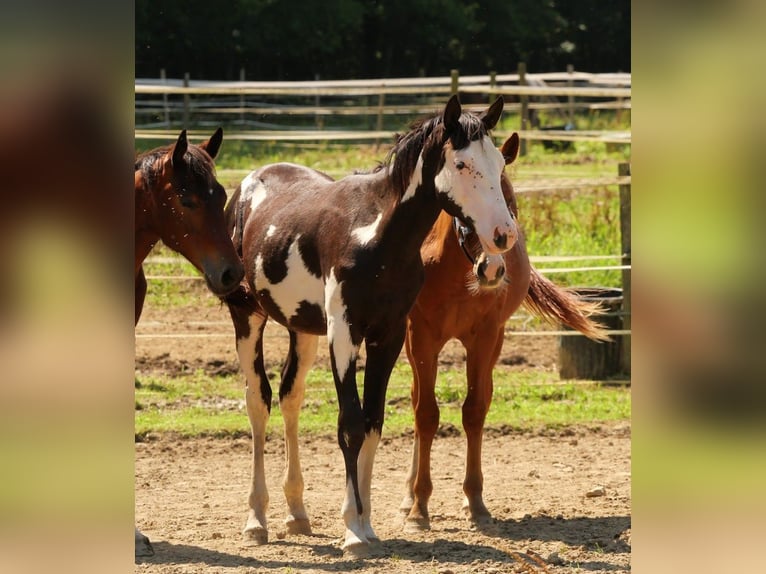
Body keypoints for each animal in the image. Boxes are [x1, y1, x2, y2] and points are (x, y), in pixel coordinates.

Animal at [223, 95, 517, 555]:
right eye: (462, 164)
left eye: (499, 165)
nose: (504, 234)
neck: (377, 235)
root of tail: (250, 183)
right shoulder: (345, 335)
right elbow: (350, 425)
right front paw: (352, 531)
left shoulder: (388, 337)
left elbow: (373, 423)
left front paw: (367, 524)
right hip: (248, 316)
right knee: (259, 402)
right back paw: (256, 519)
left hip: (302, 330)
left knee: (290, 398)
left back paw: (297, 513)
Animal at [399, 132, 610, 531]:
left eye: (511, 202)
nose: (494, 269)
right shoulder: (421, 338)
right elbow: (426, 413)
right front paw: (419, 507)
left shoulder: (485, 338)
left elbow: (474, 411)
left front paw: (475, 502)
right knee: (419, 400)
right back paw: (407, 498)